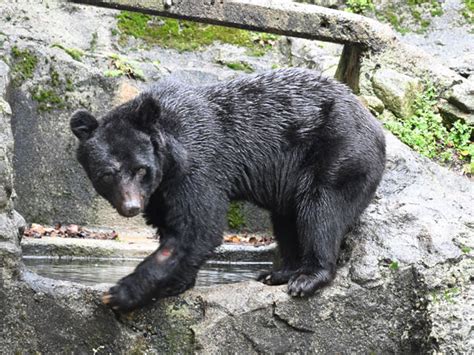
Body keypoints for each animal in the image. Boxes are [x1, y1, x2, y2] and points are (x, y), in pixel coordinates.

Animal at [70, 68, 386, 312]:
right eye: (107, 174)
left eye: (140, 169)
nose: (132, 206)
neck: (170, 158)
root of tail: (374, 124)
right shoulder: (160, 191)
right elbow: (172, 226)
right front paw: (177, 284)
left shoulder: (198, 168)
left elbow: (197, 228)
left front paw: (120, 294)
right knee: (287, 218)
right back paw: (280, 273)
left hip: (339, 154)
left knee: (321, 210)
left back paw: (307, 277)